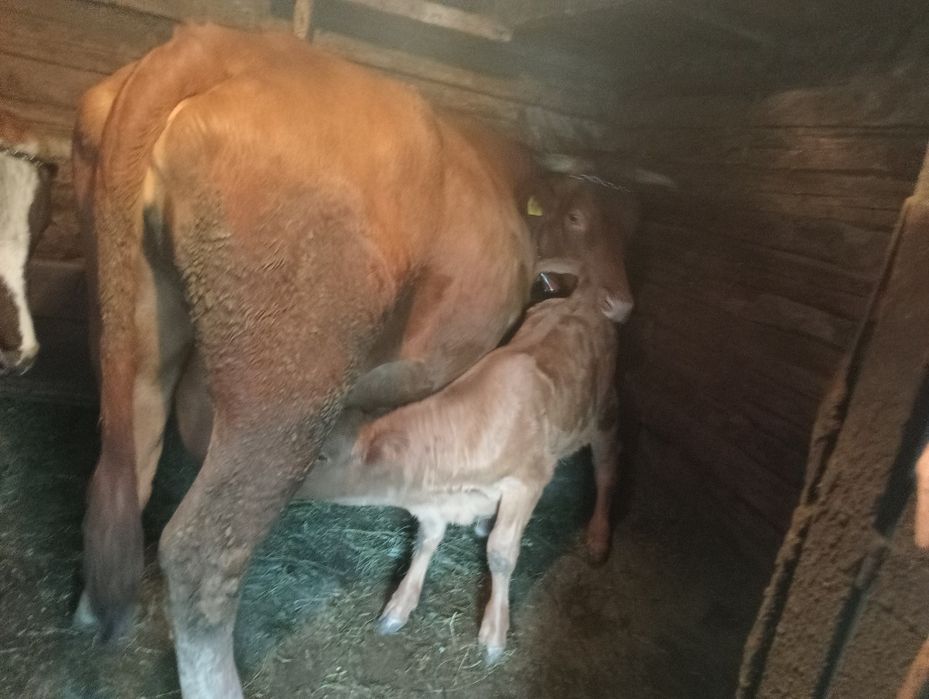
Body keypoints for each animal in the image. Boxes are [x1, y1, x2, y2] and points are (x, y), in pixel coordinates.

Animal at [295, 255, 624, 663]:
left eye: (320, 455)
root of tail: (580, 299)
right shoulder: (436, 503)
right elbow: (426, 540)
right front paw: (400, 604)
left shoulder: (528, 481)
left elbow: (501, 552)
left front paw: (494, 631)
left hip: (604, 412)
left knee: (606, 470)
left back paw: (597, 536)